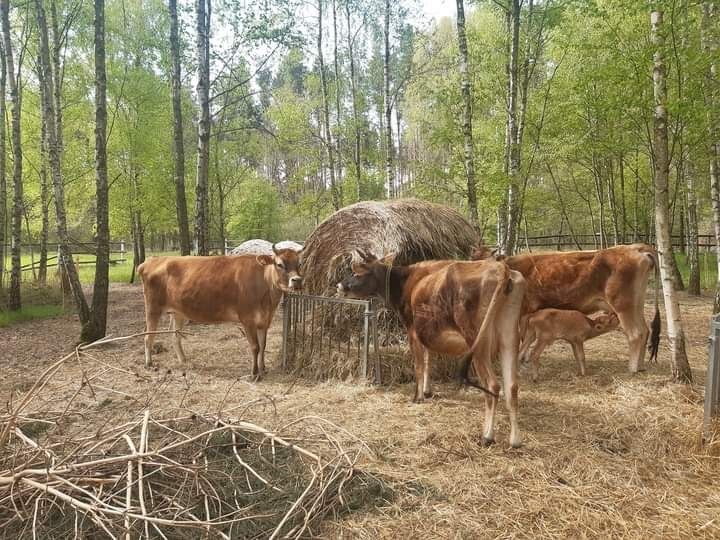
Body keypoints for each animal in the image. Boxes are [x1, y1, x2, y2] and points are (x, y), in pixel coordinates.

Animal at [136, 246, 302, 380]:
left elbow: (263, 345)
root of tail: (151, 260)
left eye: (299, 263)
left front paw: (263, 369)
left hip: (178, 311)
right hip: (152, 307)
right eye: (279, 264)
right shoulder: (247, 319)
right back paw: (149, 363)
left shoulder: (264, 320)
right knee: (148, 336)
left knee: (175, 336)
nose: (297, 280)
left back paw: (183, 360)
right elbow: (255, 347)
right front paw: (254, 373)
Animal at [334, 253, 524, 448]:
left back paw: (487, 436)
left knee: (493, 385)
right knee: (512, 386)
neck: (406, 282)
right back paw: (515, 440)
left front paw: (417, 396)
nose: (339, 286)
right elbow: (428, 359)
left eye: (357, 272)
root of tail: (501, 269)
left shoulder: (412, 330)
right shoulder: (425, 332)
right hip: (509, 338)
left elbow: (418, 365)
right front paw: (427, 391)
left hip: (478, 340)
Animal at [470, 244, 660, 374]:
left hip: (623, 305)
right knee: (645, 330)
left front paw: (522, 359)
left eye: (490, 262)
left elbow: (523, 336)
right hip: (637, 304)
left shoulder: (525, 310)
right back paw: (640, 366)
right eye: (473, 261)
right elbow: (528, 337)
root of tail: (635, 247)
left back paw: (632, 368)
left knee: (635, 333)